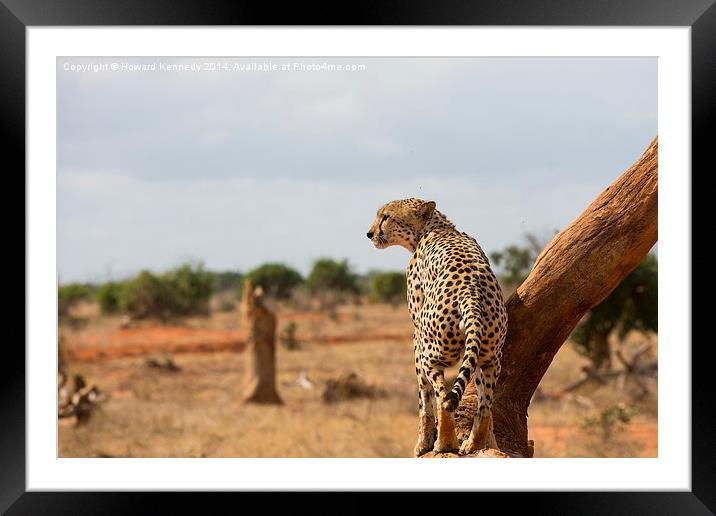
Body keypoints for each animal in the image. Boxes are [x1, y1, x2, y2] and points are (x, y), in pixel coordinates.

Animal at [366, 198, 506, 456]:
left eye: (386, 216)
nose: (369, 233)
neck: (436, 227)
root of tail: (471, 294)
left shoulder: (416, 337)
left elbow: (424, 399)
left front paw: (422, 444)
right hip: (490, 358)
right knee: (485, 406)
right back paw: (474, 444)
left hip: (432, 353)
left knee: (443, 398)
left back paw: (444, 443)